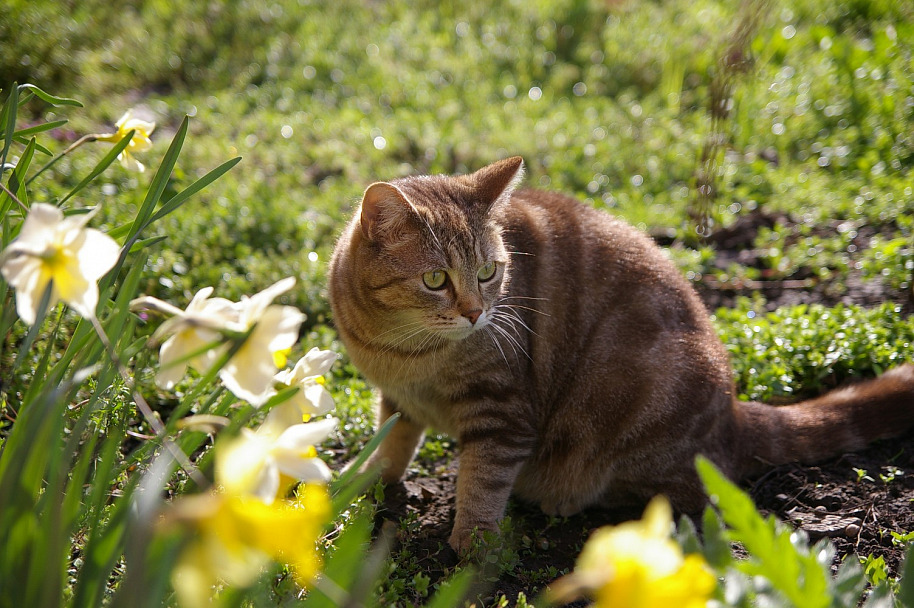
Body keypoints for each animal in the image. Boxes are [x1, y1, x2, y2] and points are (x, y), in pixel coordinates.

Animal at [326, 158, 912, 556]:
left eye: (489, 272)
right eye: (435, 280)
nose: (476, 312)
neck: (406, 352)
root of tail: (733, 412)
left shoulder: (503, 412)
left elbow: (483, 482)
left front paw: (472, 543)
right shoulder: (398, 400)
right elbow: (392, 444)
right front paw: (367, 480)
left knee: (685, 491)